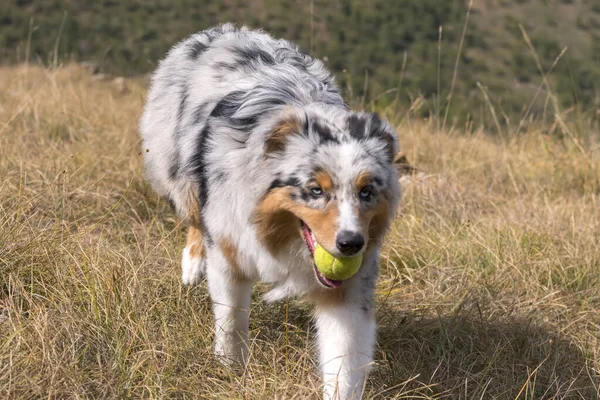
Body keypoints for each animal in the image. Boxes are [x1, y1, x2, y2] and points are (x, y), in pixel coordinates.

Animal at [140, 23, 400, 398]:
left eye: (366, 192)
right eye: (315, 190)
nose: (351, 244)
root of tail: (226, 29)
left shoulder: (349, 290)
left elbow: (344, 358)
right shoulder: (229, 253)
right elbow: (231, 320)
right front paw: (231, 372)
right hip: (171, 164)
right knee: (191, 211)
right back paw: (192, 262)